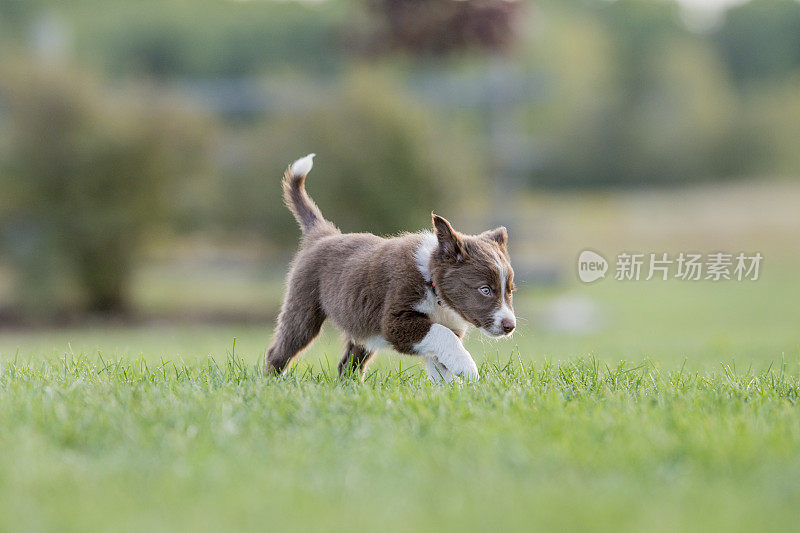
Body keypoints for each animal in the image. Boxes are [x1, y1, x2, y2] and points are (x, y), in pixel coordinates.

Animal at [268, 154, 520, 382]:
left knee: (347, 363)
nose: (510, 326)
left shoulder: (445, 323)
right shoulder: (395, 320)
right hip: (304, 305)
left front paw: (450, 390)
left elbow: (440, 361)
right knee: (283, 346)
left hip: (363, 324)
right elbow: (442, 335)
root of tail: (323, 233)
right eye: (485, 290)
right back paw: (272, 381)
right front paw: (467, 367)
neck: (432, 286)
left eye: (509, 292)